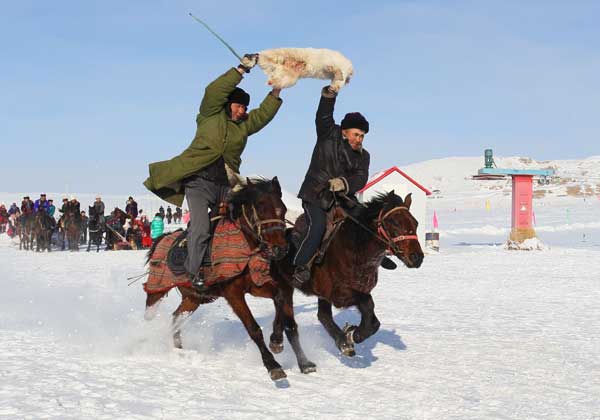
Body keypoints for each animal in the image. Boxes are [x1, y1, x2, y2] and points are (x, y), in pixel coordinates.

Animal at [144, 179, 316, 382]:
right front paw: (272, 365)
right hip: (157, 290)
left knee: (176, 318)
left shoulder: (259, 286)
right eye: (260, 208)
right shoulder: (233, 294)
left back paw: (179, 350)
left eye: (282, 209)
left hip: (193, 298)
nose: (279, 249)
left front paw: (277, 341)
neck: (245, 245)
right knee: (150, 314)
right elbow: (253, 329)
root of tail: (160, 240)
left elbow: (280, 300)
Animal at [272, 190, 422, 358]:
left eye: (415, 223)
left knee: (322, 315)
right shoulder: (339, 295)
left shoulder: (345, 292)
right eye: (394, 222)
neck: (356, 249)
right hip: (283, 284)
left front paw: (350, 335)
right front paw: (354, 334)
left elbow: (374, 320)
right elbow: (368, 304)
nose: (417, 257)